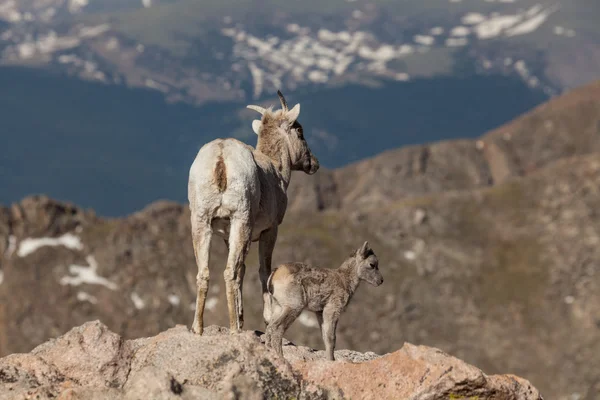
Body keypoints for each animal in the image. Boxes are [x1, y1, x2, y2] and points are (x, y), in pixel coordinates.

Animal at [189, 90, 318, 334]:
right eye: (300, 131)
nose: (313, 164)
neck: (276, 170)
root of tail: (221, 157)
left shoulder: (227, 235)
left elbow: (243, 270)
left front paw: (242, 318)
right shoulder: (270, 231)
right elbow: (263, 271)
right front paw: (267, 319)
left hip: (201, 221)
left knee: (204, 272)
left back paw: (198, 329)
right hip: (241, 219)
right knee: (229, 272)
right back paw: (233, 329)